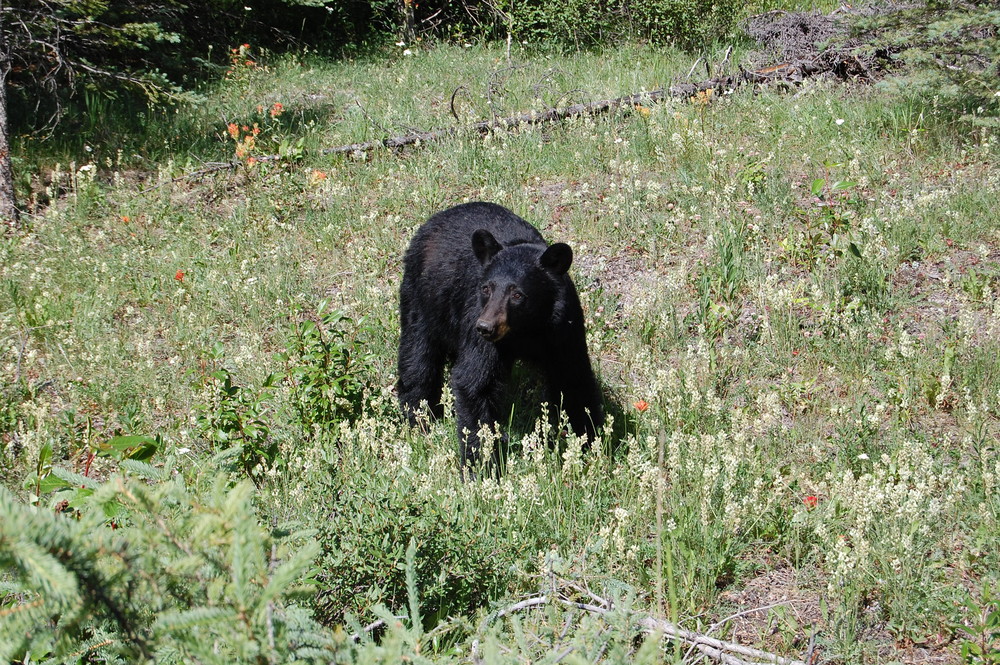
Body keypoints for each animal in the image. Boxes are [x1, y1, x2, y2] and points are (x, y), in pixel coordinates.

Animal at [396, 200, 600, 470]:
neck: (527, 329)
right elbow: (475, 381)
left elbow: (573, 378)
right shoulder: (478, 319)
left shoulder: (563, 328)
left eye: (517, 294)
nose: (485, 327)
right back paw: (417, 416)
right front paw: (481, 463)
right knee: (417, 353)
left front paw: (593, 444)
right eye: (486, 288)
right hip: (421, 295)